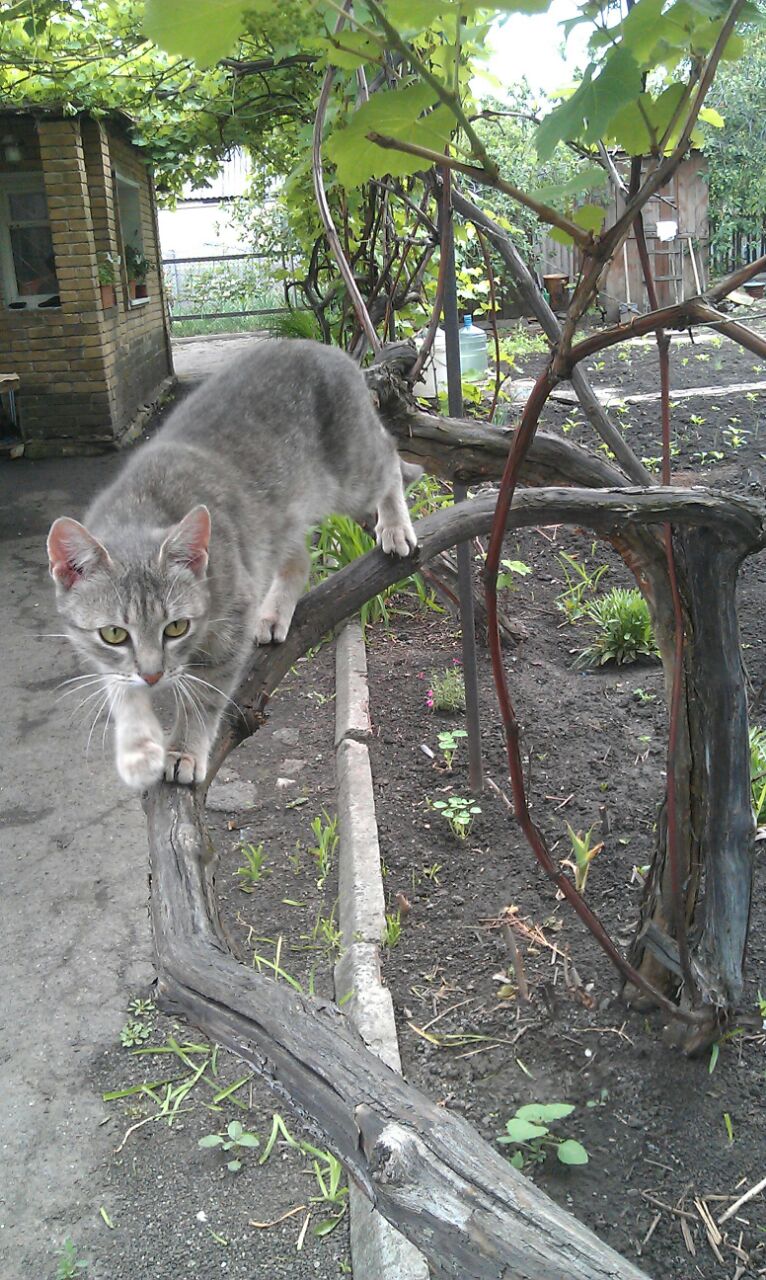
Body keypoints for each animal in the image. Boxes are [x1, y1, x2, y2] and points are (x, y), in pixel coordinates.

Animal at [47, 339, 417, 790]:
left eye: (176, 627)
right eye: (115, 633)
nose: (153, 676)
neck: (141, 508)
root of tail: (325, 348)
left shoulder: (228, 630)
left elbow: (203, 697)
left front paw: (183, 751)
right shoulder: (104, 654)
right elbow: (122, 690)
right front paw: (138, 749)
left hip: (355, 476)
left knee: (390, 455)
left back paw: (395, 526)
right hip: (280, 520)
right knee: (297, 558)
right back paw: (274, 613)